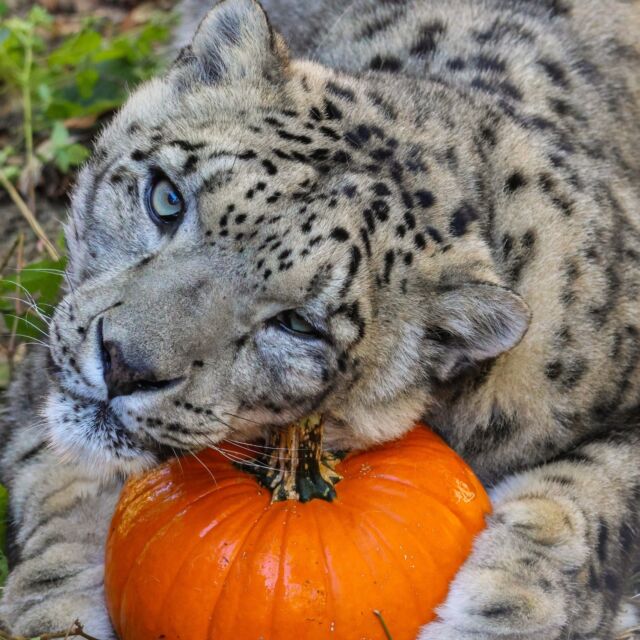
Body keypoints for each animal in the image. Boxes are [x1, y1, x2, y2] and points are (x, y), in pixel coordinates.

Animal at [1, 0, 640, 636]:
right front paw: (56, 610)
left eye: (298, 325)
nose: (123, 365)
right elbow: (62, 482)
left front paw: (501, 609)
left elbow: (590, 493)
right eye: (166, 198)